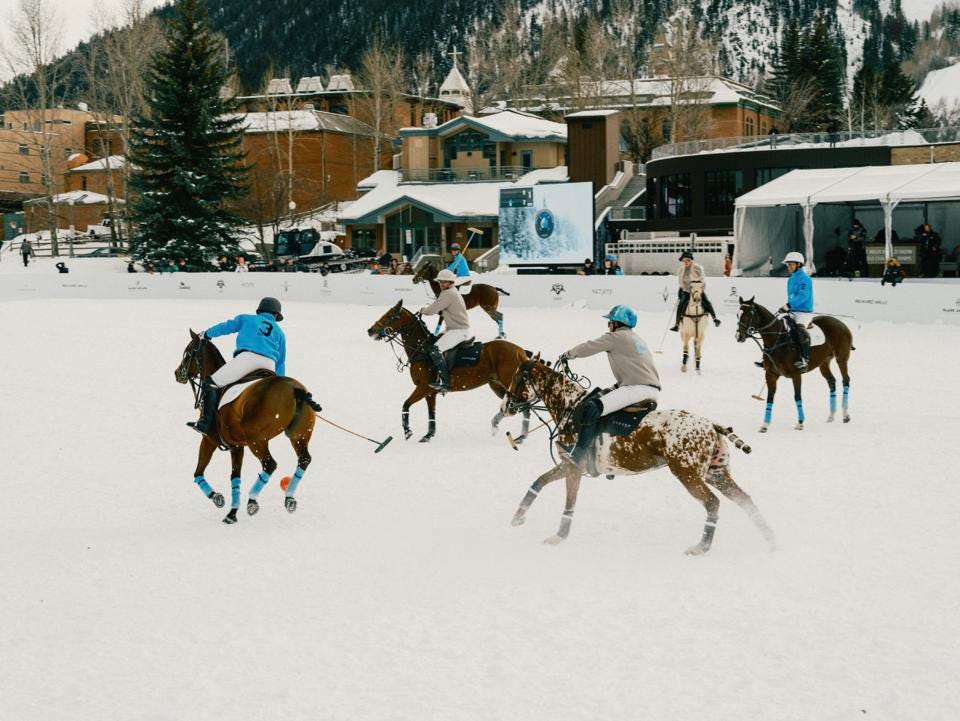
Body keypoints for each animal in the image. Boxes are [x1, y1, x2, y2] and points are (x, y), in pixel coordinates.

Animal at [368, 300, 532, 444]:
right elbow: (431, 413)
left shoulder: (424, 387)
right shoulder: (430, 392)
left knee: (524, 405)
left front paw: (408, 432)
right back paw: (506, 429)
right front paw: (428, 436)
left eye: (390, 315)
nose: (370, 330)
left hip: (511, 383)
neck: (421, 349)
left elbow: (406, 404)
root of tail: (520, 351)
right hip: (497, 385)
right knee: (517, 405)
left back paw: (520, 436)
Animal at [498, 358, 776, 552]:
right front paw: (517, 518)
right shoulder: (569, 464)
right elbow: (538, 482)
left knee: (713, 503)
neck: (570, 407)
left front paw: (558, 537)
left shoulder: (574, 466)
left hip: (687, 473)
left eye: (517, 378)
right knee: (746, 501)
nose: (505, 406)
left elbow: (569, 503)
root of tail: (712, 425)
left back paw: (701, 547)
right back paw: (771, 540)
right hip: (716, 473)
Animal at [736, 298, 856, 434]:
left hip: (842, 358)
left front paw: (800, 423)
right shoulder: (771, 374)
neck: (778, 340)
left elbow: (797, 396)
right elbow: (770, 398)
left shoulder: (796, 375)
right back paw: (831, 416)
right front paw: (765, 425)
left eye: (748, 315)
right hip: (824, 362)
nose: (738, 336)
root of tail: (841, 323)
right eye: (738, 315)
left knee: (845, 380)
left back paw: (845, 415)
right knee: (831, 382)